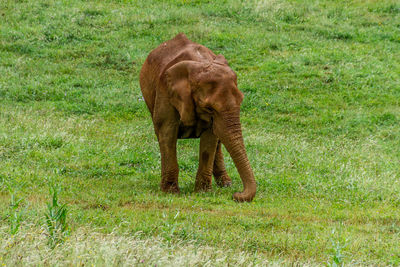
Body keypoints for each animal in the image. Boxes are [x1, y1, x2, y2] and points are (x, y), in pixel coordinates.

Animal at [140, 33, 256, 203]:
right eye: (209, 108)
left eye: (241, 100)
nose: (237, 195)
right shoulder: (165, 91)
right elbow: (167, 133)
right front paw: (171, 192)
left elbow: (210, 139)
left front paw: (202, 192)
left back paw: (225, 184)